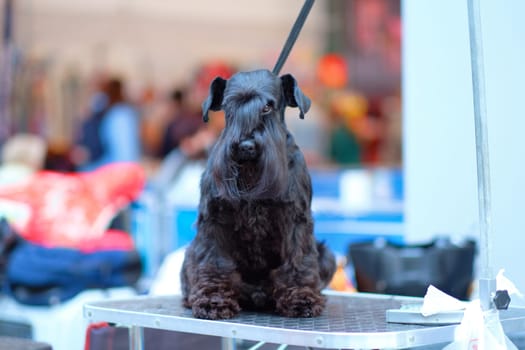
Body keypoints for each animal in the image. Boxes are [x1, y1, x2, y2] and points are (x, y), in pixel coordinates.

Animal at [180, 69, 336, 320]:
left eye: (267, 107)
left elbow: (298, 259)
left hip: (327, 254)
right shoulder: (214, 219)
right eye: (229, 106)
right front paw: (214, 301)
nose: (245, 146)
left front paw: (301, 297)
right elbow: (213, 262)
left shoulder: (295, 218)